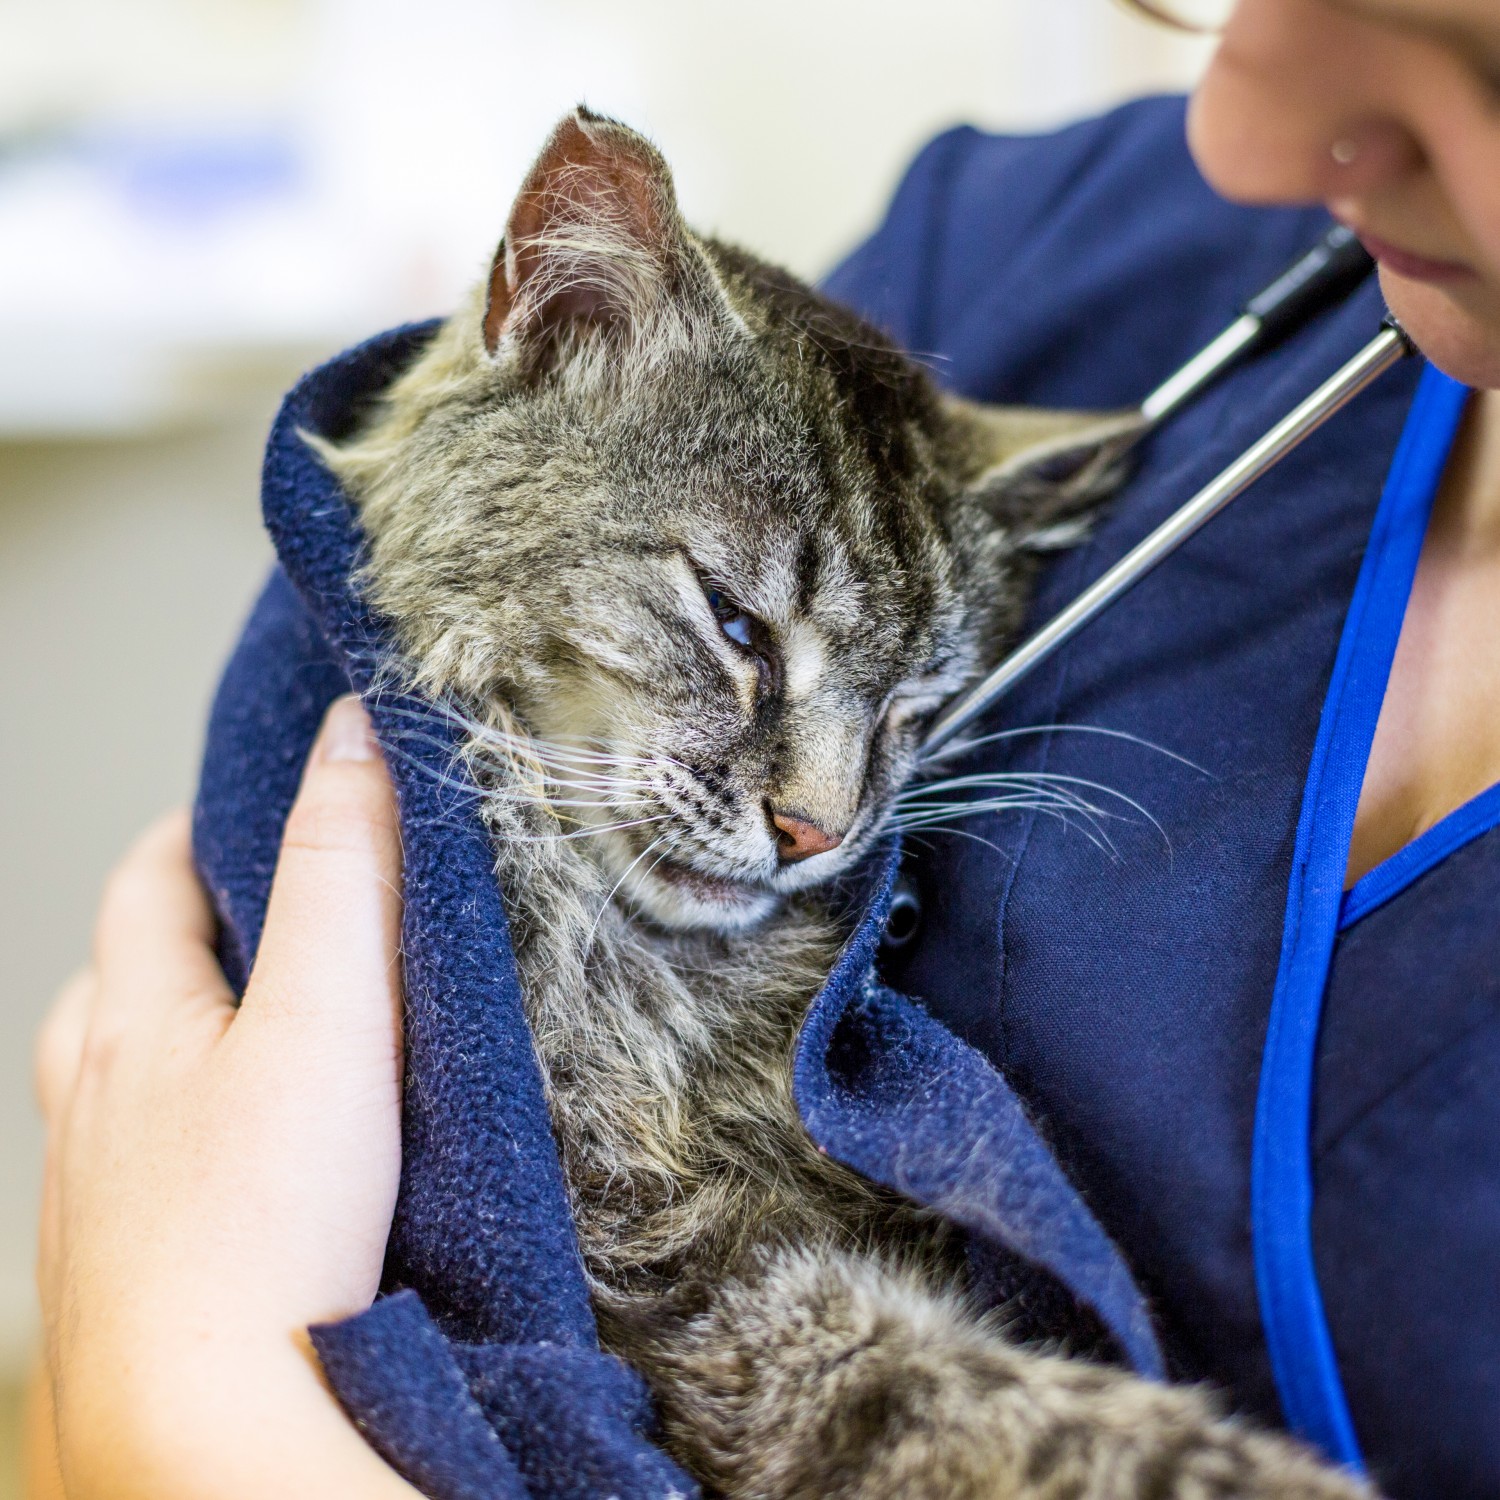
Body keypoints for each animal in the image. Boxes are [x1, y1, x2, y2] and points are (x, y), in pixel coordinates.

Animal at [313, 108, 1374, 1500]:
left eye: (915, 707)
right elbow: (1012, 1417)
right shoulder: (680, 1286)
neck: (659, 985)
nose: (817, 832)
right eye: (734, 625)